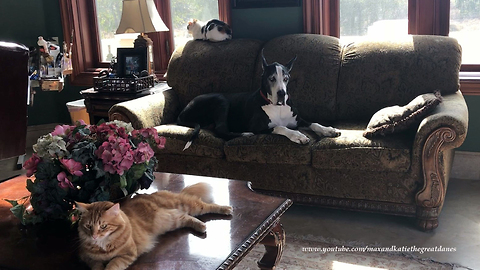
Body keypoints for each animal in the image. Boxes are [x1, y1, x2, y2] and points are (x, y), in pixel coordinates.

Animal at [75, 182, 232, 268]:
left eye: (103, 226)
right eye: (88, 226)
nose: (94, 236)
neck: (103, 245)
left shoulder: (127, 254)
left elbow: (112, 265)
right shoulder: (86, 257)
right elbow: (97, 265)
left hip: (186, 205)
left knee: (207, 205)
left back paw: (226, 209)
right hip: (174, 219)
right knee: (187, 217)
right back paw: (201, 226)